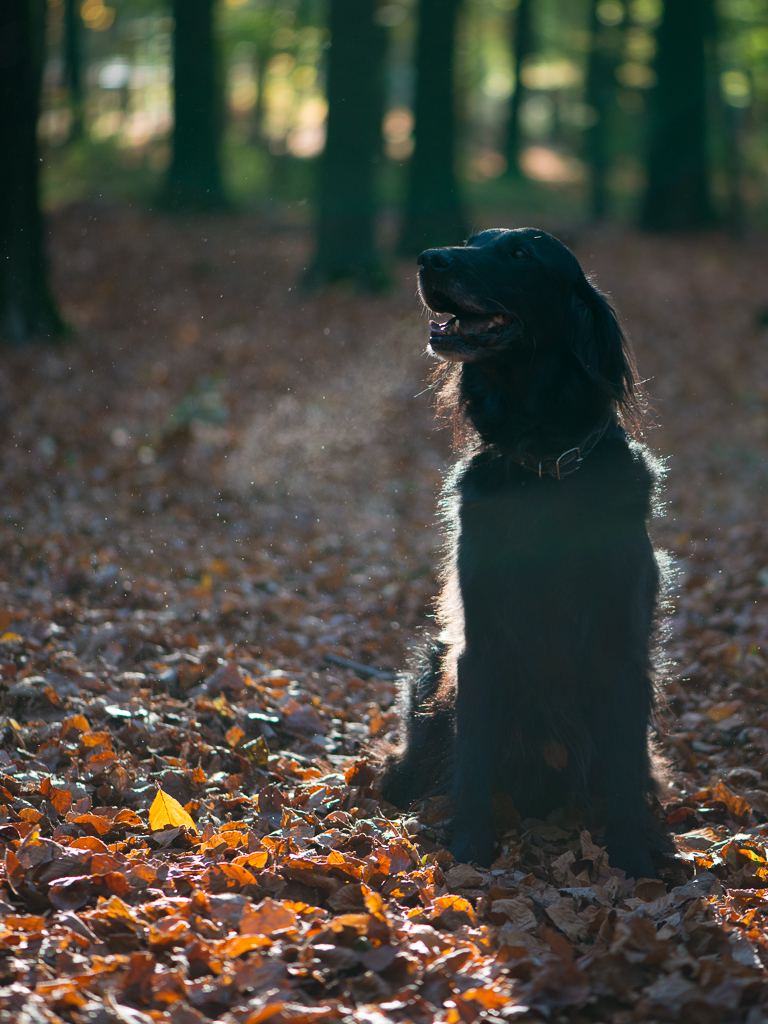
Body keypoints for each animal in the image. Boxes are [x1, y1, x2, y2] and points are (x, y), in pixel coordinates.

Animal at [382, 228, 671, 876]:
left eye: (521, 254)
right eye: (472, 241)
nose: (427, 259)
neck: (544, 464)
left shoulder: (621, 646)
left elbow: (624, 765)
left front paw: (635, 858)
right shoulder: (480, 644)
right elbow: (474, 756)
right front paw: (469, 849)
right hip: (431, 662)